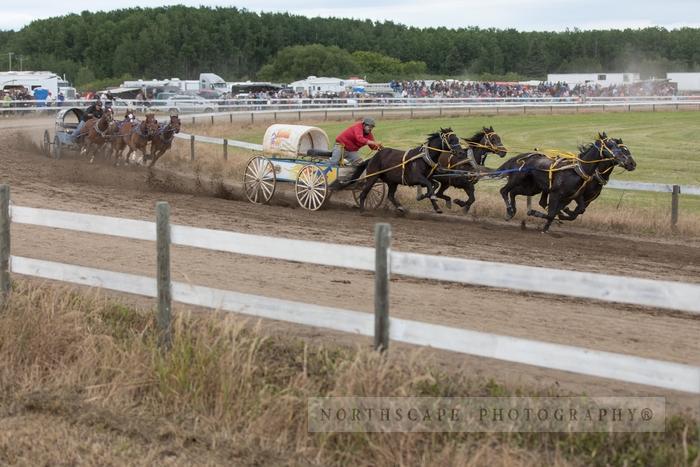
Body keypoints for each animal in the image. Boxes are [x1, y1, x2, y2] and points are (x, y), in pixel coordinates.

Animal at [494, 133, 632, 231]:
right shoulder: (556, 194)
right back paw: (509, 210)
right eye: (610, 145)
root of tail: (520, 157)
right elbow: (552, 213)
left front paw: (555, 219)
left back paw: (512, 212)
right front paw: (542, 222)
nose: (631, 163)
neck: (577, 170)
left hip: (532, 188)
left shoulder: (576, 196)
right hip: (517, 179)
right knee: (504, 190)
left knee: (514, 192)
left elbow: (577, 210)